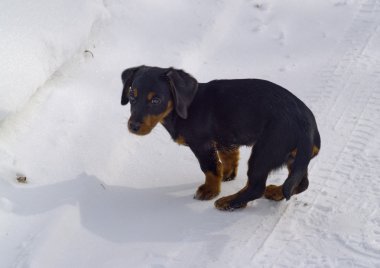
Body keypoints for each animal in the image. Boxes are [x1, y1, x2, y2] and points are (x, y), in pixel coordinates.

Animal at [119, 66, 320, 210]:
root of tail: (307, 127)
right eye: (131, 95)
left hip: (264, 152)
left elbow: (210, 168)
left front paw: (210, 191)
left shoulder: (202, 145)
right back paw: (276, 192)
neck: (184, 108)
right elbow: (227, 159)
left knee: (256, 187)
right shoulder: (226, 139)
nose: (133, 126)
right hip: (295, 157)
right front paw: (227, 175)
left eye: (156, 100)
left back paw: (230, 202)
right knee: (300, 183)